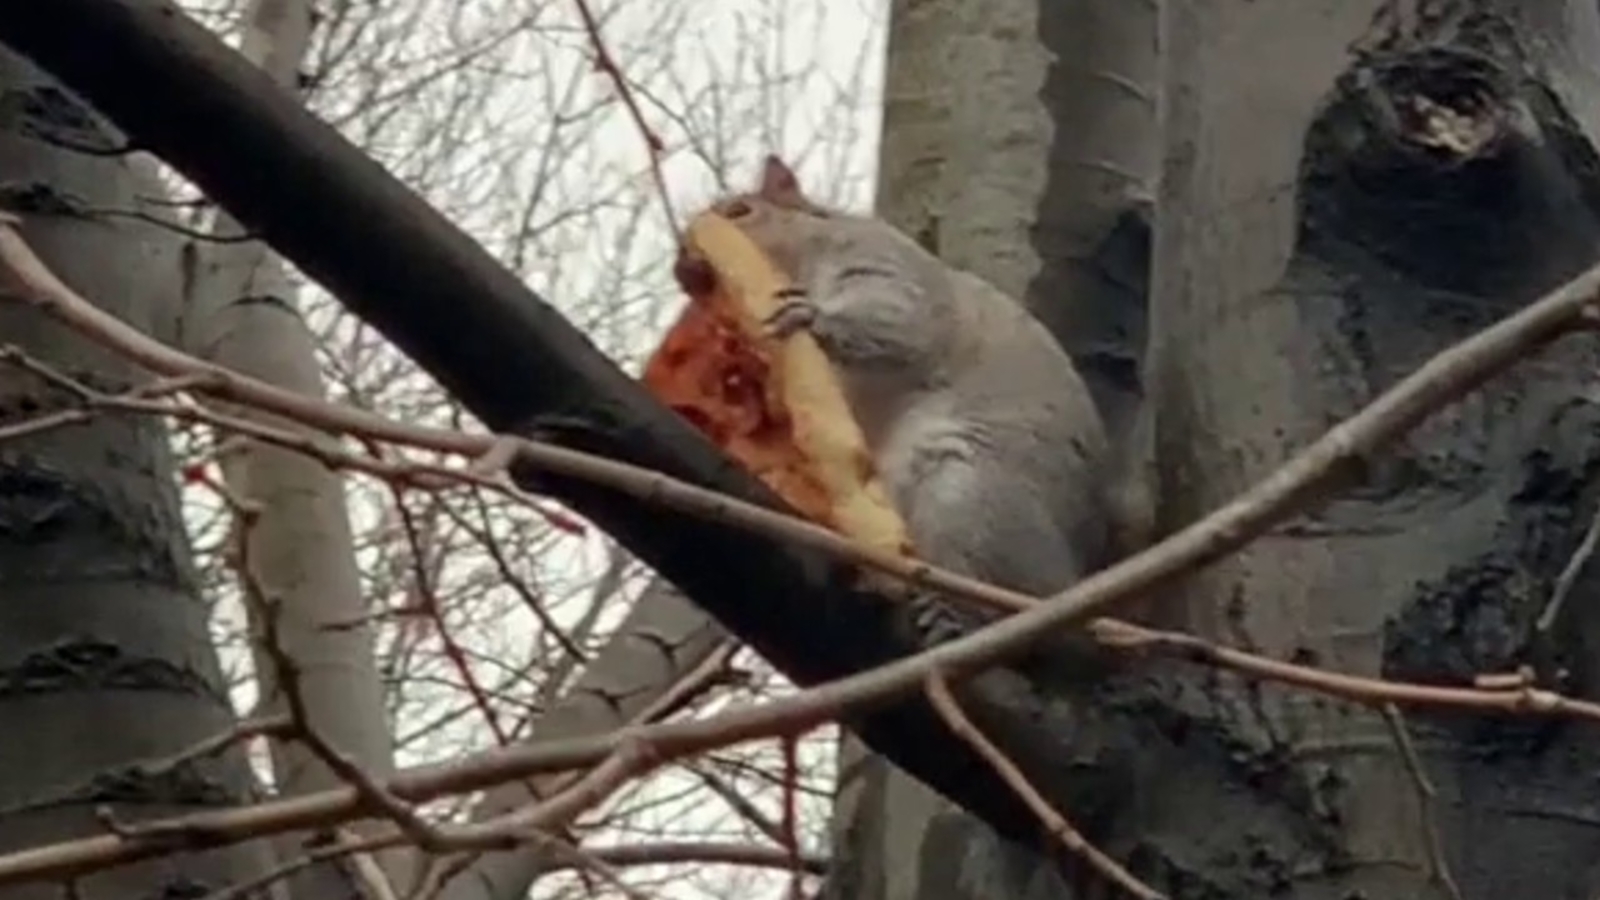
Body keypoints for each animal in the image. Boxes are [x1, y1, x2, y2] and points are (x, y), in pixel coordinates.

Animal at [708, 156, 1144, 640]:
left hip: (966, 500)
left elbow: (900, 320)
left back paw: (952, 613)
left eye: (740, 212)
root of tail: (1070, 578)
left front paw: (812, 317)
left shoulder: (878, 260)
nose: (682, 265)